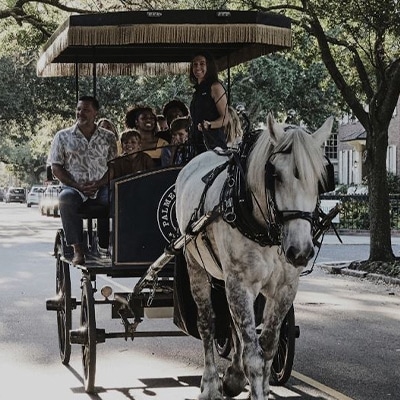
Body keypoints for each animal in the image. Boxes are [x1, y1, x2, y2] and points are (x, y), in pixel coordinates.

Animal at [176, 113, 334, 400]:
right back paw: (211, 383)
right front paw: (250, 386)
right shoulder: (240, 283)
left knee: (234, 325)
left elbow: (268, 346)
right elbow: (254, 357)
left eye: (320, 178)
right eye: (275, 174)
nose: (300, 250)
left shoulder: (285, 287)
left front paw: (258, 385)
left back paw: (233, 377)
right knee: (207, 323)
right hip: (196, 266)